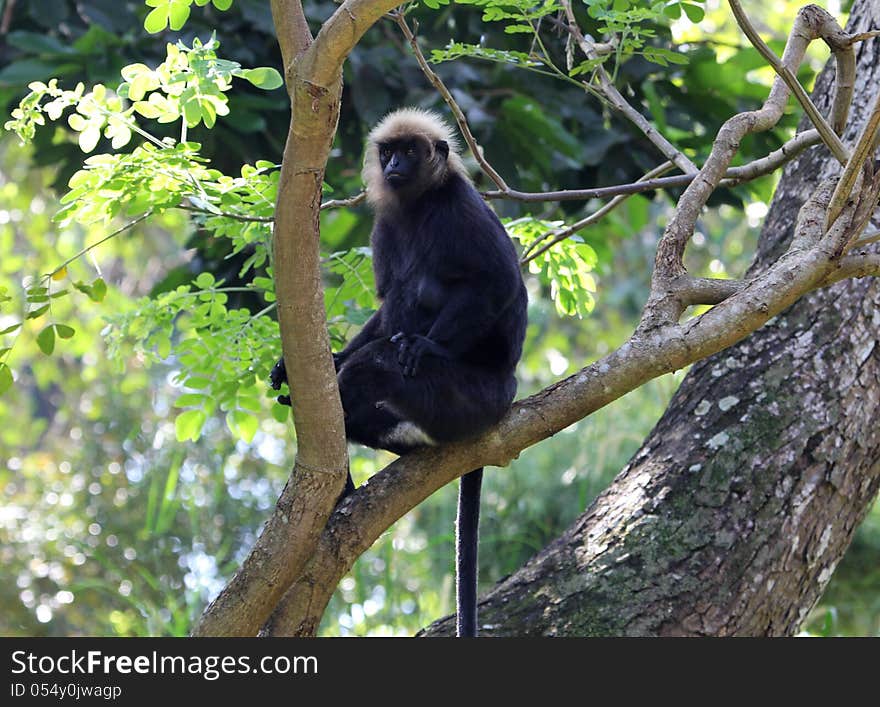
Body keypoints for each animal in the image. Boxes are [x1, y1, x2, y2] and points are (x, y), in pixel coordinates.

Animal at [272, 108, 524, 640]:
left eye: (410, 151)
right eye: (388, 152)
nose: (393, 166)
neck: (419, 203)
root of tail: (508, 389)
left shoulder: (460, 208)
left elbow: (498, 281)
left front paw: (426, 345)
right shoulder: (387, 225)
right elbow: (387, 301)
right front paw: (327, 359)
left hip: (467, 397)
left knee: (382, 361)